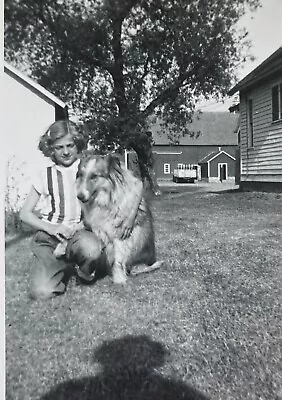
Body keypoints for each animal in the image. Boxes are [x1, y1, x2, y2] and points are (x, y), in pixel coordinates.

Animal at [73, 151, 163, 284]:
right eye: (81, 175)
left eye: (94, 176)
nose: (80, 196)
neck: (105, 202)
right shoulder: (97, 228)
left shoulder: (120, 236)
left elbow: (118, 260)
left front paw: (119, 280)